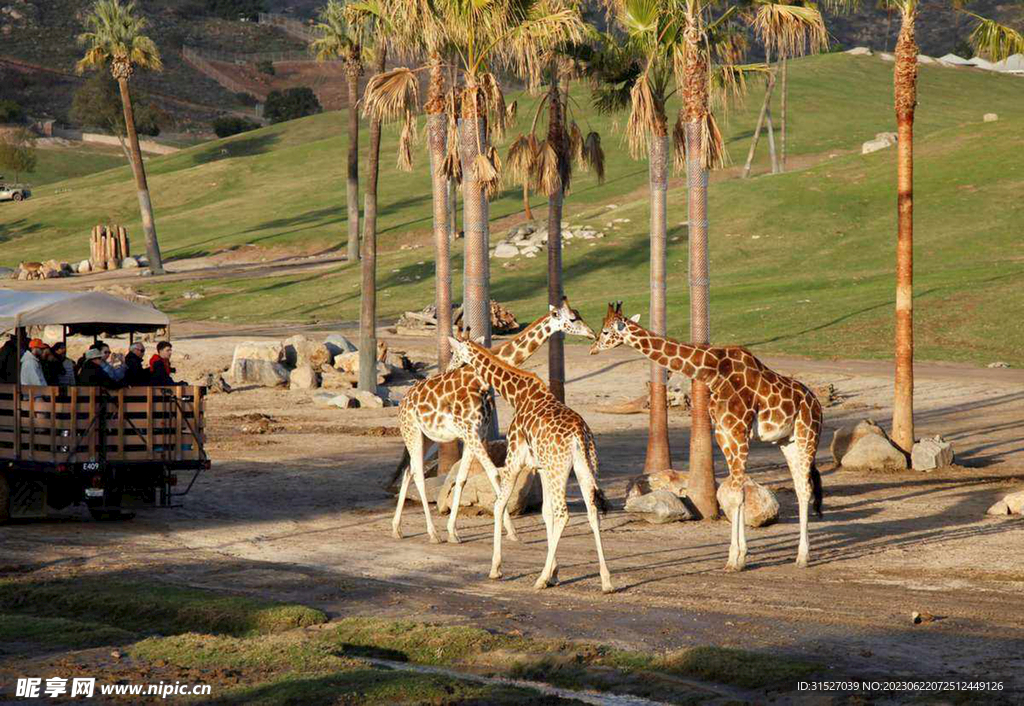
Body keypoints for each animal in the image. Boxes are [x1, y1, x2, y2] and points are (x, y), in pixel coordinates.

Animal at [393, 295, 598, 541]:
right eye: (573, 318)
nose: (592, 333)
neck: (479, 381)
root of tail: (404, 400)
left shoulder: (476, 433)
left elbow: (464, 478)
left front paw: (454, 531)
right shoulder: (470, 433)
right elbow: (494, 474)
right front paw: (510, 531)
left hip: (427, 437)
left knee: (409, 471)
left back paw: (397, 528)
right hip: (412, 431)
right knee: (417, 475)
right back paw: (432, 533)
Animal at [444, 334, 610, 590]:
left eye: (454, 352)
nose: (448, 369)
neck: (516, 394)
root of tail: (578, 435)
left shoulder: (514, 461)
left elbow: (499, 505)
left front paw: (496, 569)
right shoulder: (540, 468)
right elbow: (545, 513)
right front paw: (555, 572)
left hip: (559, 470)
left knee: (564, 514)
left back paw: (539, 580)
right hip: (585, 468)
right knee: (593, 512)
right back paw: (606, 581)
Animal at [593, 299, 823, 569]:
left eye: (605, 331)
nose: (593, 348)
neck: (713, 371)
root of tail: (816, 403)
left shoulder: (739, 432)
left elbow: (737, 495)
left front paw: (736, 560)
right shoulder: (723, 434)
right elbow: (734, 494)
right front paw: (736, 557)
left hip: (808, 435)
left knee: (806, 488)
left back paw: (804, 557)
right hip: (788, 442)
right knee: (799, 486)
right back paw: (800, 555)